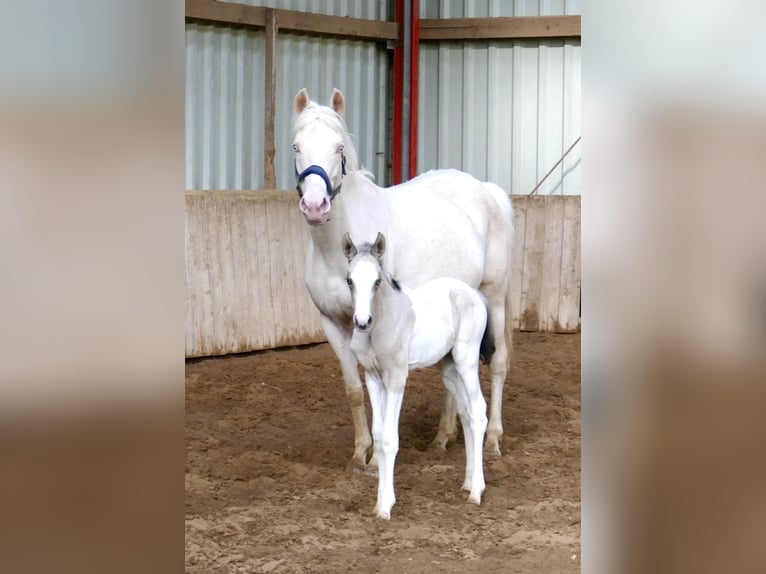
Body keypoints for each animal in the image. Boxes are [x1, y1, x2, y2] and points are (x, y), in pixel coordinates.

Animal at [292, 88, 513, 471]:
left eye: (338, 147)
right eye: (296, 146)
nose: (316, 206)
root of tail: (487, 191)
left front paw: (377, 458)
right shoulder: (333, 324)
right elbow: (354, 390)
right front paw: (360, 452)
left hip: (494, 299)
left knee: (498, 363)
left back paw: (493, 440)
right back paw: (443, 437)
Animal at [343, 232, 491, 519]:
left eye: (377, 281)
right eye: (349, 279)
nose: (362, 322)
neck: (383, 322)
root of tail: (476, 295)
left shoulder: (397, 377)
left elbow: (390, 439)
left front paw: (385, 507)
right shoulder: (373, 378)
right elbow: (379, 436)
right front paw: (379, 502)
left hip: (466, 360)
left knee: (479, 411)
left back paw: (477, 492)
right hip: (449, 370)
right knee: (466, 414)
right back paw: (468, 483)